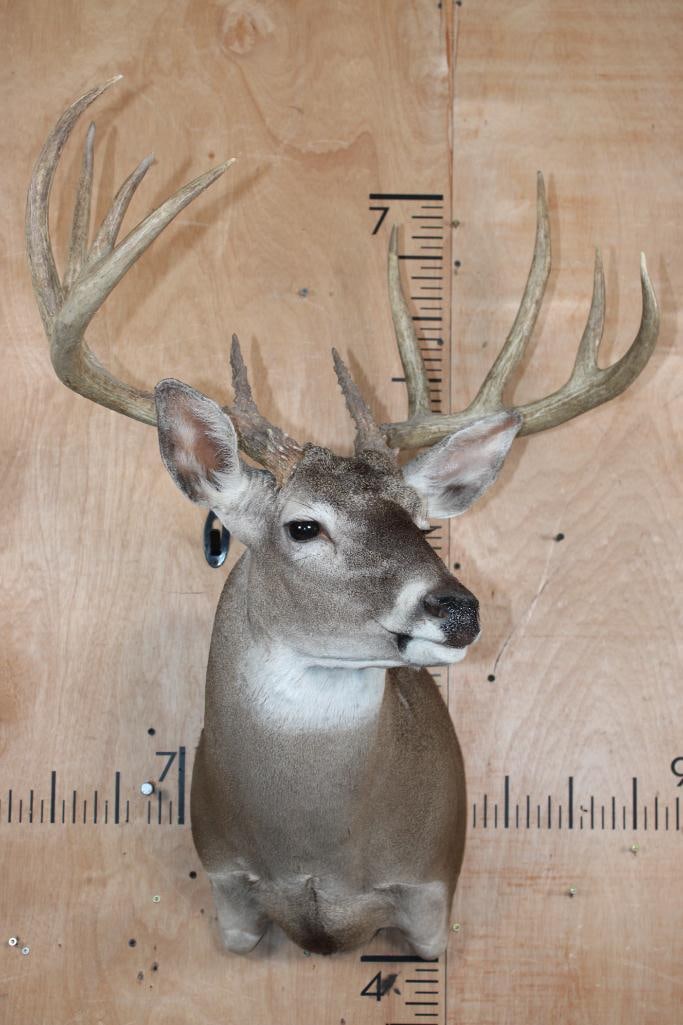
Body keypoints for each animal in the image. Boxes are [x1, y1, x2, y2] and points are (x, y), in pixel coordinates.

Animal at [26, 78, 659, 958]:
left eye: (421, 525)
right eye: (304, 526)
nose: (457, 607)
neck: (313, 849)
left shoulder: (431, 893)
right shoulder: (224, 889)